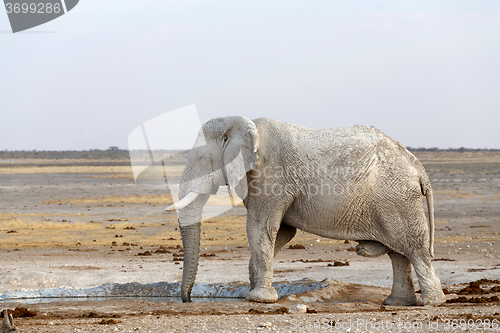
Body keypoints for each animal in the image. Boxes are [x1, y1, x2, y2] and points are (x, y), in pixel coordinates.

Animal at [166, 115, 448, 304]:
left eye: (201, 159)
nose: (187, 300)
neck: (244, 122)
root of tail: (417, 166)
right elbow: (281, 232)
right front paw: (254, 288)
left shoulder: (271, 176)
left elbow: (260, 227)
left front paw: (258, 299)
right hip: (395, 200)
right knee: (399, 253)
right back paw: (397, 303)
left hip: (397, 199)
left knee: (413, 248)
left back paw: (431, 303)